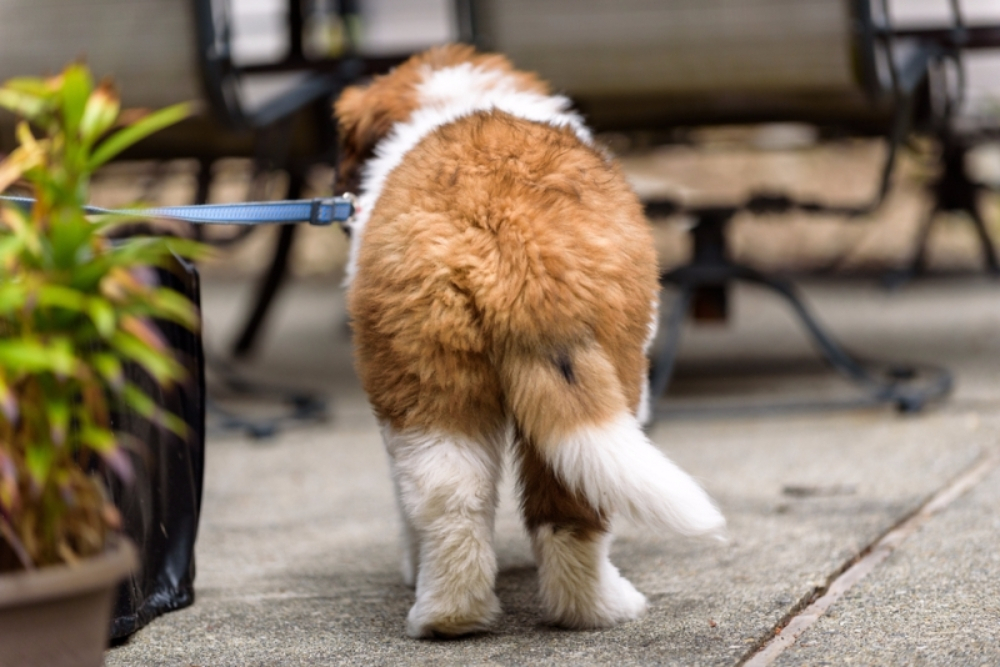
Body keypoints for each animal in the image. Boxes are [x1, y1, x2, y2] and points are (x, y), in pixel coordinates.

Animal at [336, 44, 728, 640]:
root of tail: (507, 231)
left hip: (426, 374)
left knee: (454, 497)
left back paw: (453, 617)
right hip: (611, 367)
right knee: (565, 504)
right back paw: (602, 608)